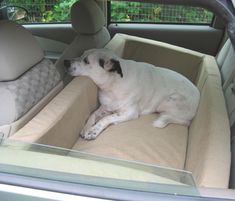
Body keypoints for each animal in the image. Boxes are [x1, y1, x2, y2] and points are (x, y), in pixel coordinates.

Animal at [64, 48, 200, 140]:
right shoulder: (106, 107)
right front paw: (87, 127)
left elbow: (107, 118)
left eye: (86, 61)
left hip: (168, 101)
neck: (113, 85)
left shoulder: (130, 112)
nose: (65, 61)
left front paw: (94, 130)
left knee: (181, 120)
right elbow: (93, 115)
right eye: (82, 54)